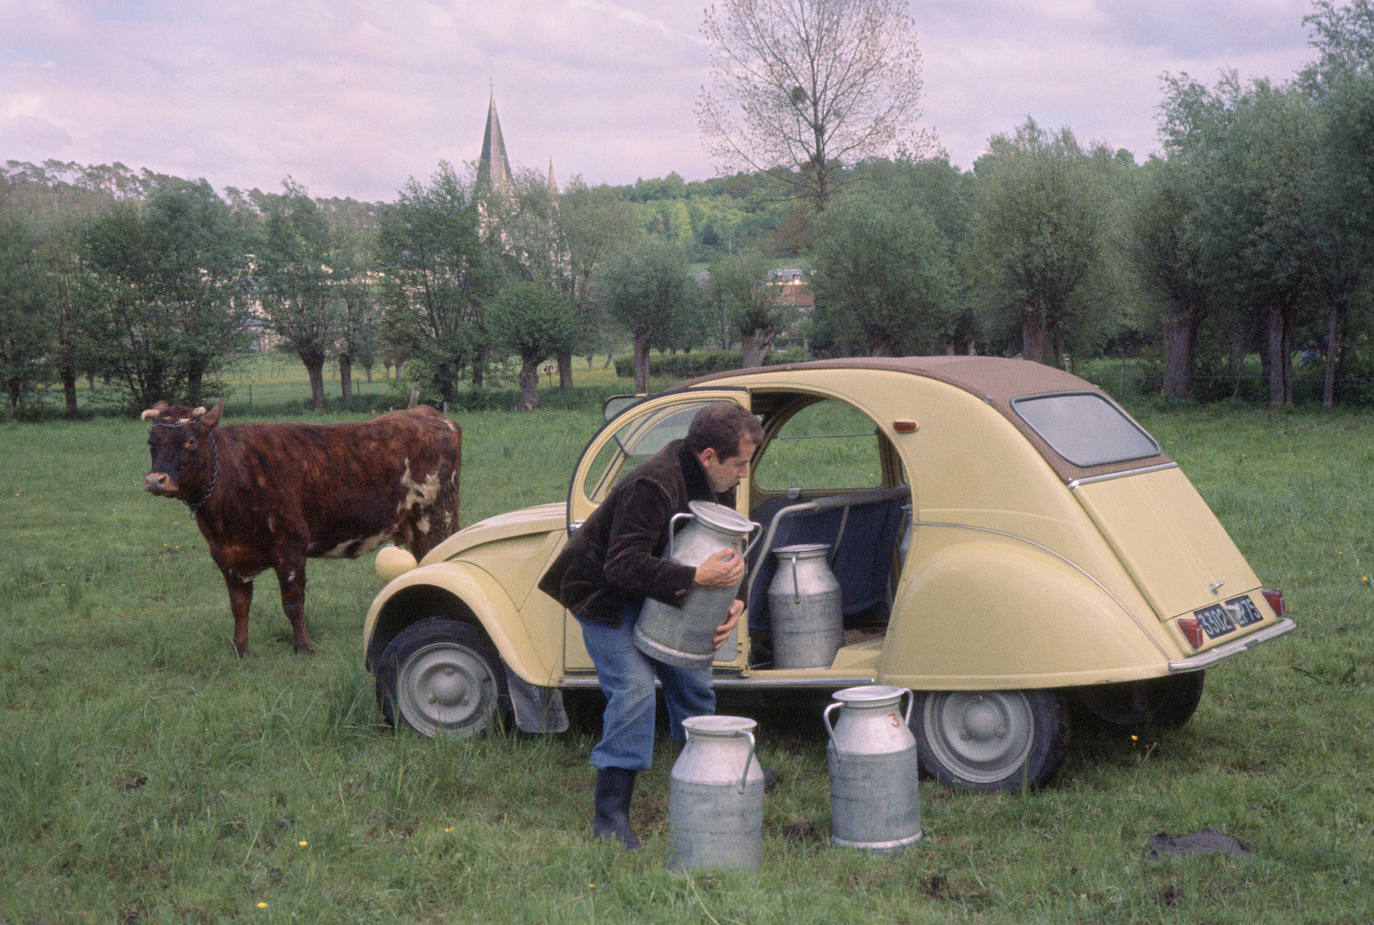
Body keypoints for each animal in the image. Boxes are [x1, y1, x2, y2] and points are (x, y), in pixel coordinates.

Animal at [142, 401, 461, 654]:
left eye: (190, 441)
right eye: (152, 443)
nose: (156, 480)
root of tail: (427, 413)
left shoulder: (290, 547)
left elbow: (293, 603)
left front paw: (303, 647)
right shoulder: (226, 556)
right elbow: (239, 605)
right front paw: (240, 649)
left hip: (437, 520)